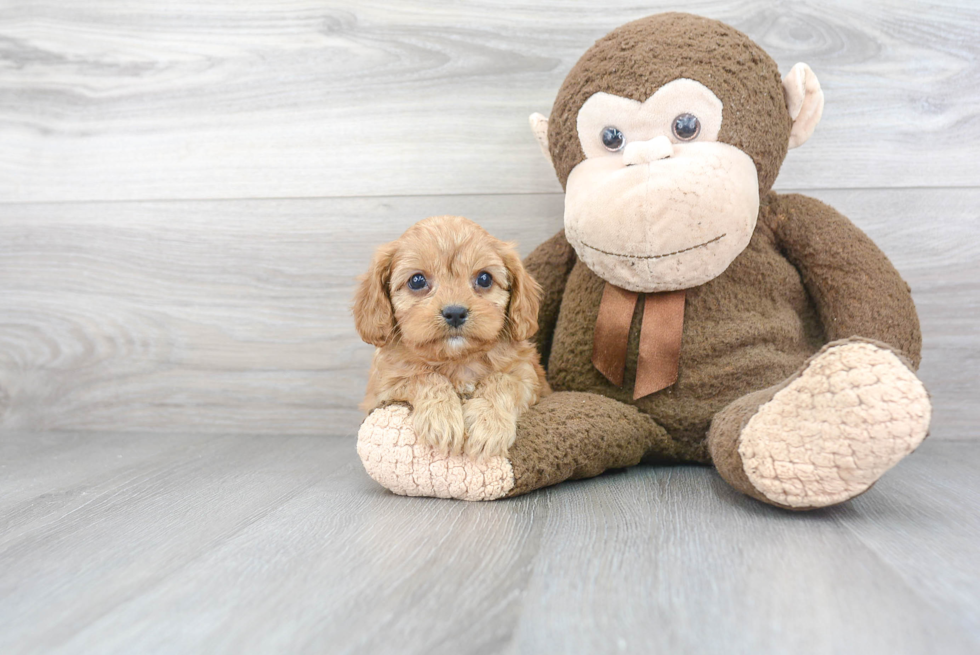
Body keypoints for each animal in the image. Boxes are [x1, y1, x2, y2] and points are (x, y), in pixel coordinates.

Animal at [352, 217, 552, 462]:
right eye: (417, 281)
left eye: (484, 278)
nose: (455, 312)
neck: (458, 360)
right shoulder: (385, 386)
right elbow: (423, 376)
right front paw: (442, 418)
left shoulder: (529, 377)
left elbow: (502, 380)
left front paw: (488, 424)